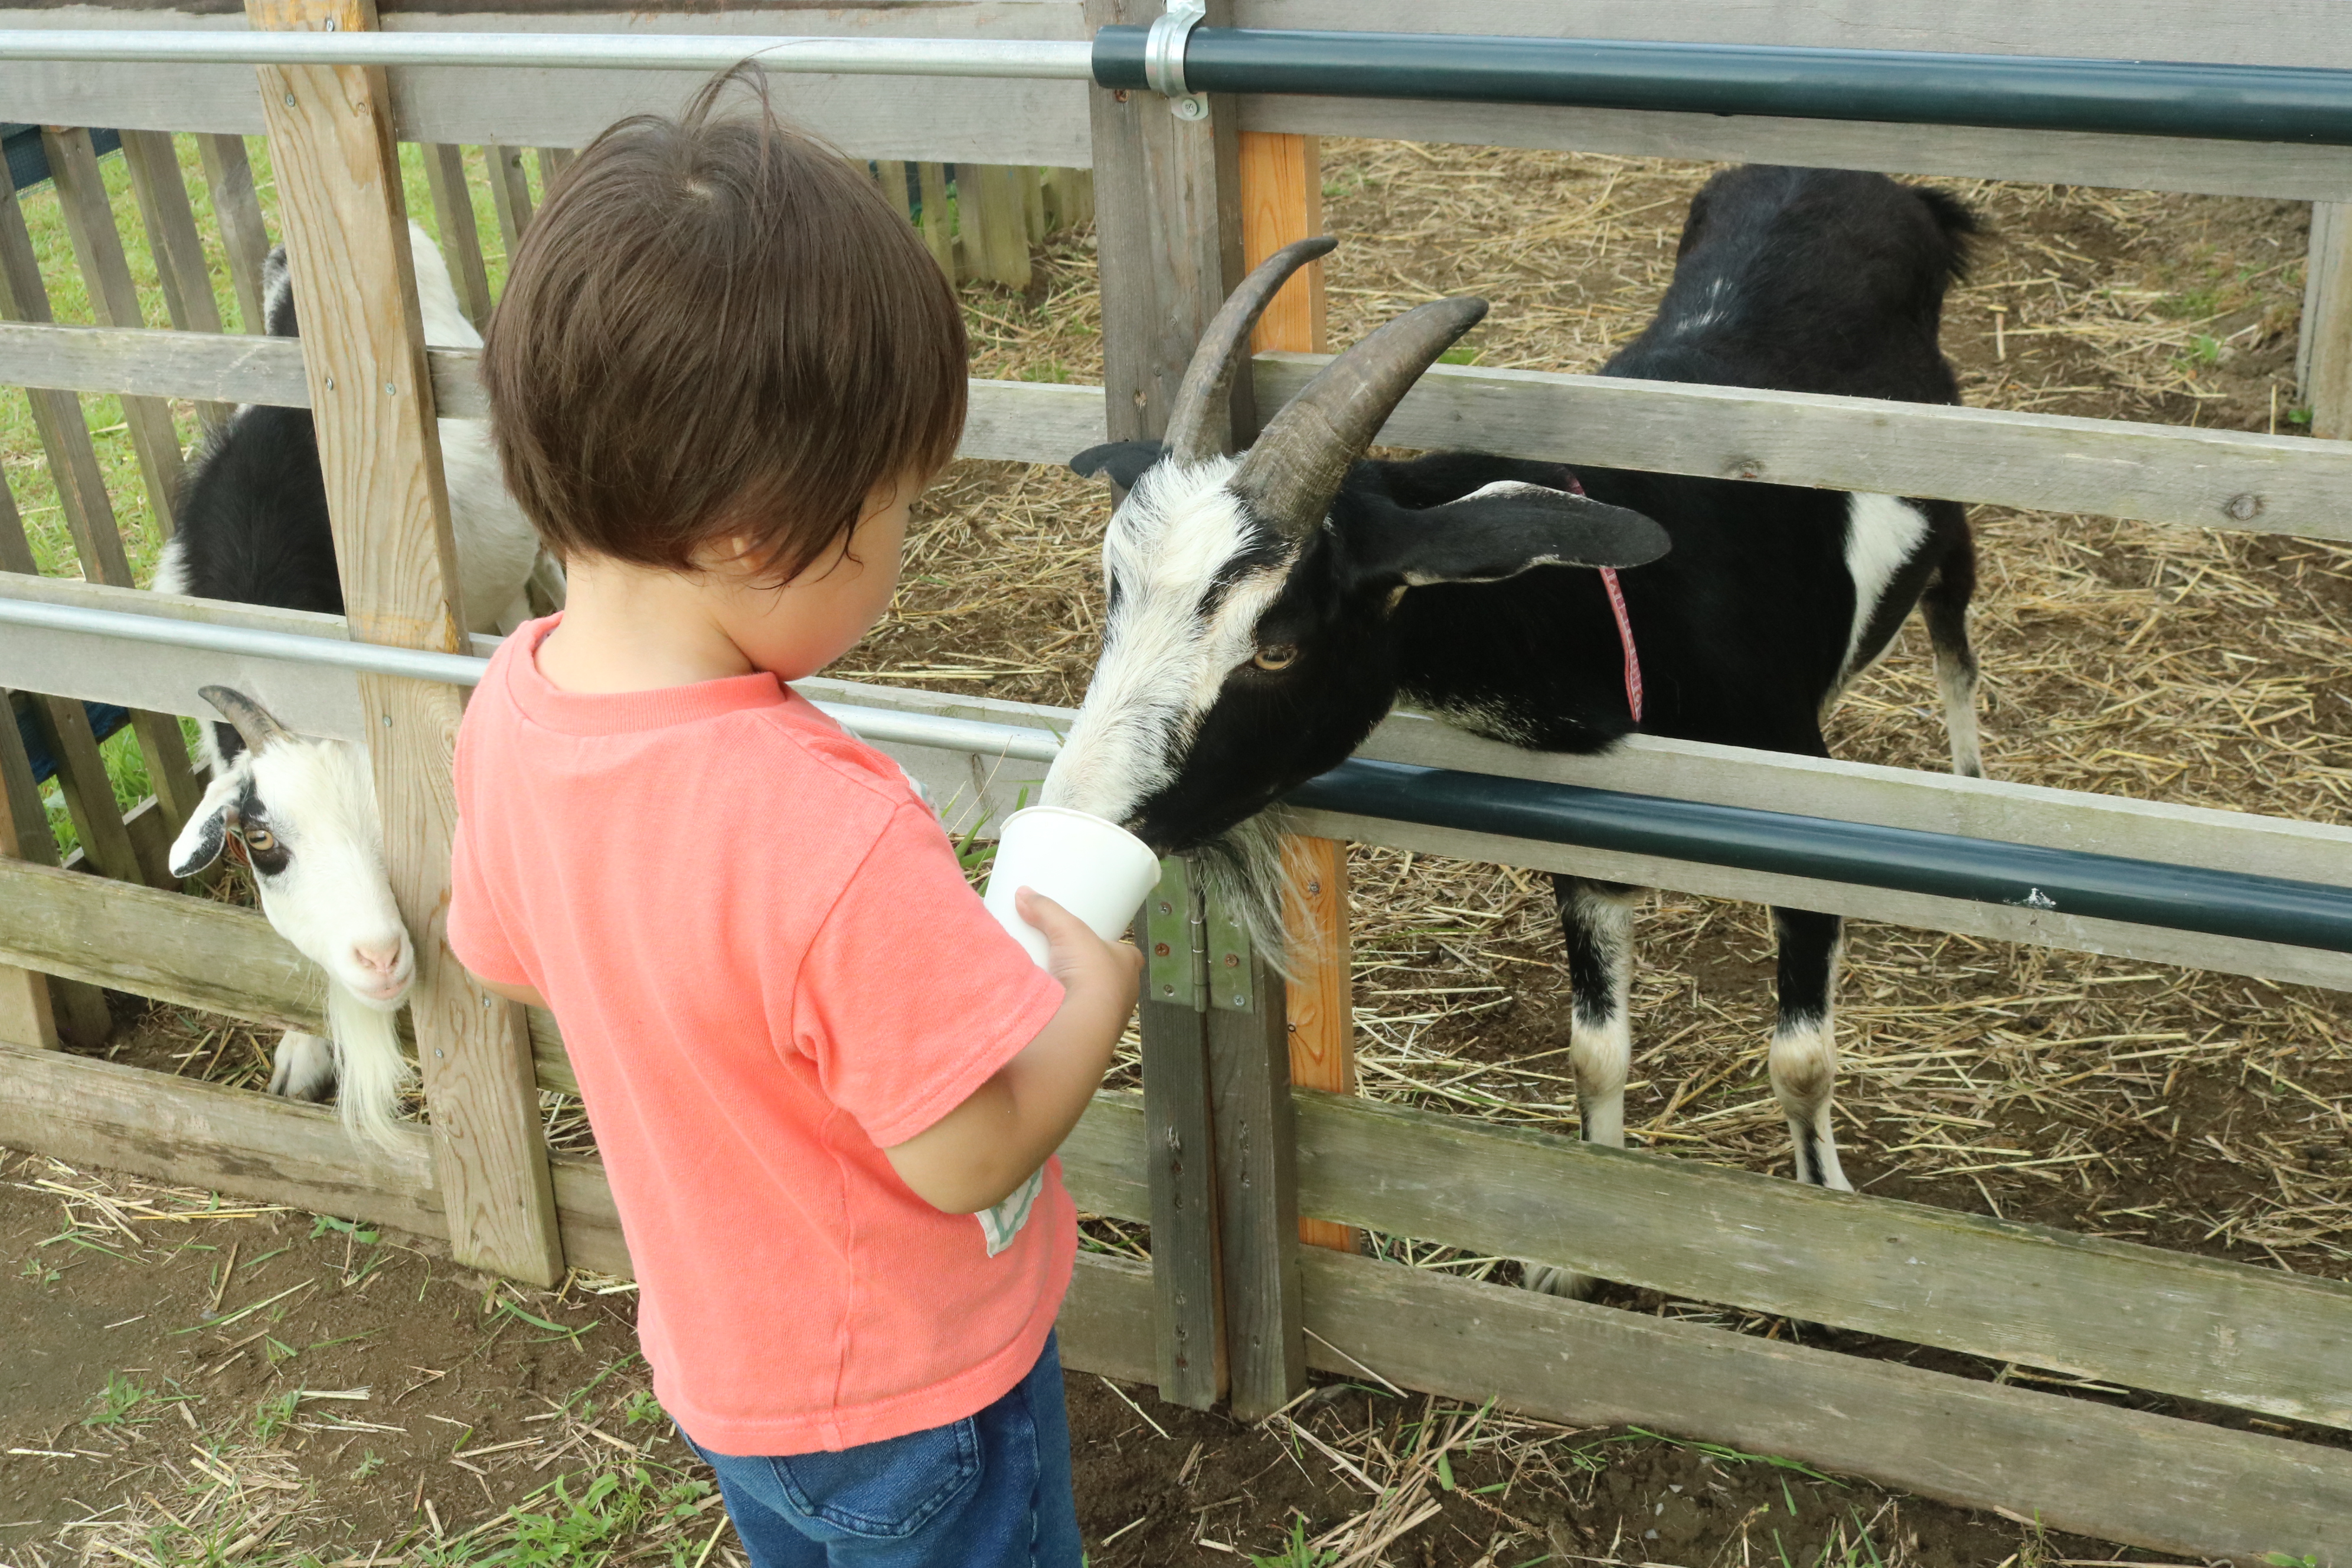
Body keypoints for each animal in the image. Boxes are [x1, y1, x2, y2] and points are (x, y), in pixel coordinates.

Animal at [1048, 169, 1985, 1288]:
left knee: (1955, 634)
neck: (1633, 611)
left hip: (1954, 514)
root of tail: (1879, 186)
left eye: (1275, 644)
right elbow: (1595, 1053)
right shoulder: (1585, 845)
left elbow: (1799, 1060)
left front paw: (1824, 1223)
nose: (1078, 819)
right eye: (1114, 590)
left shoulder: (1803, 819)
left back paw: (1970, 780)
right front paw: (1572, 1259)